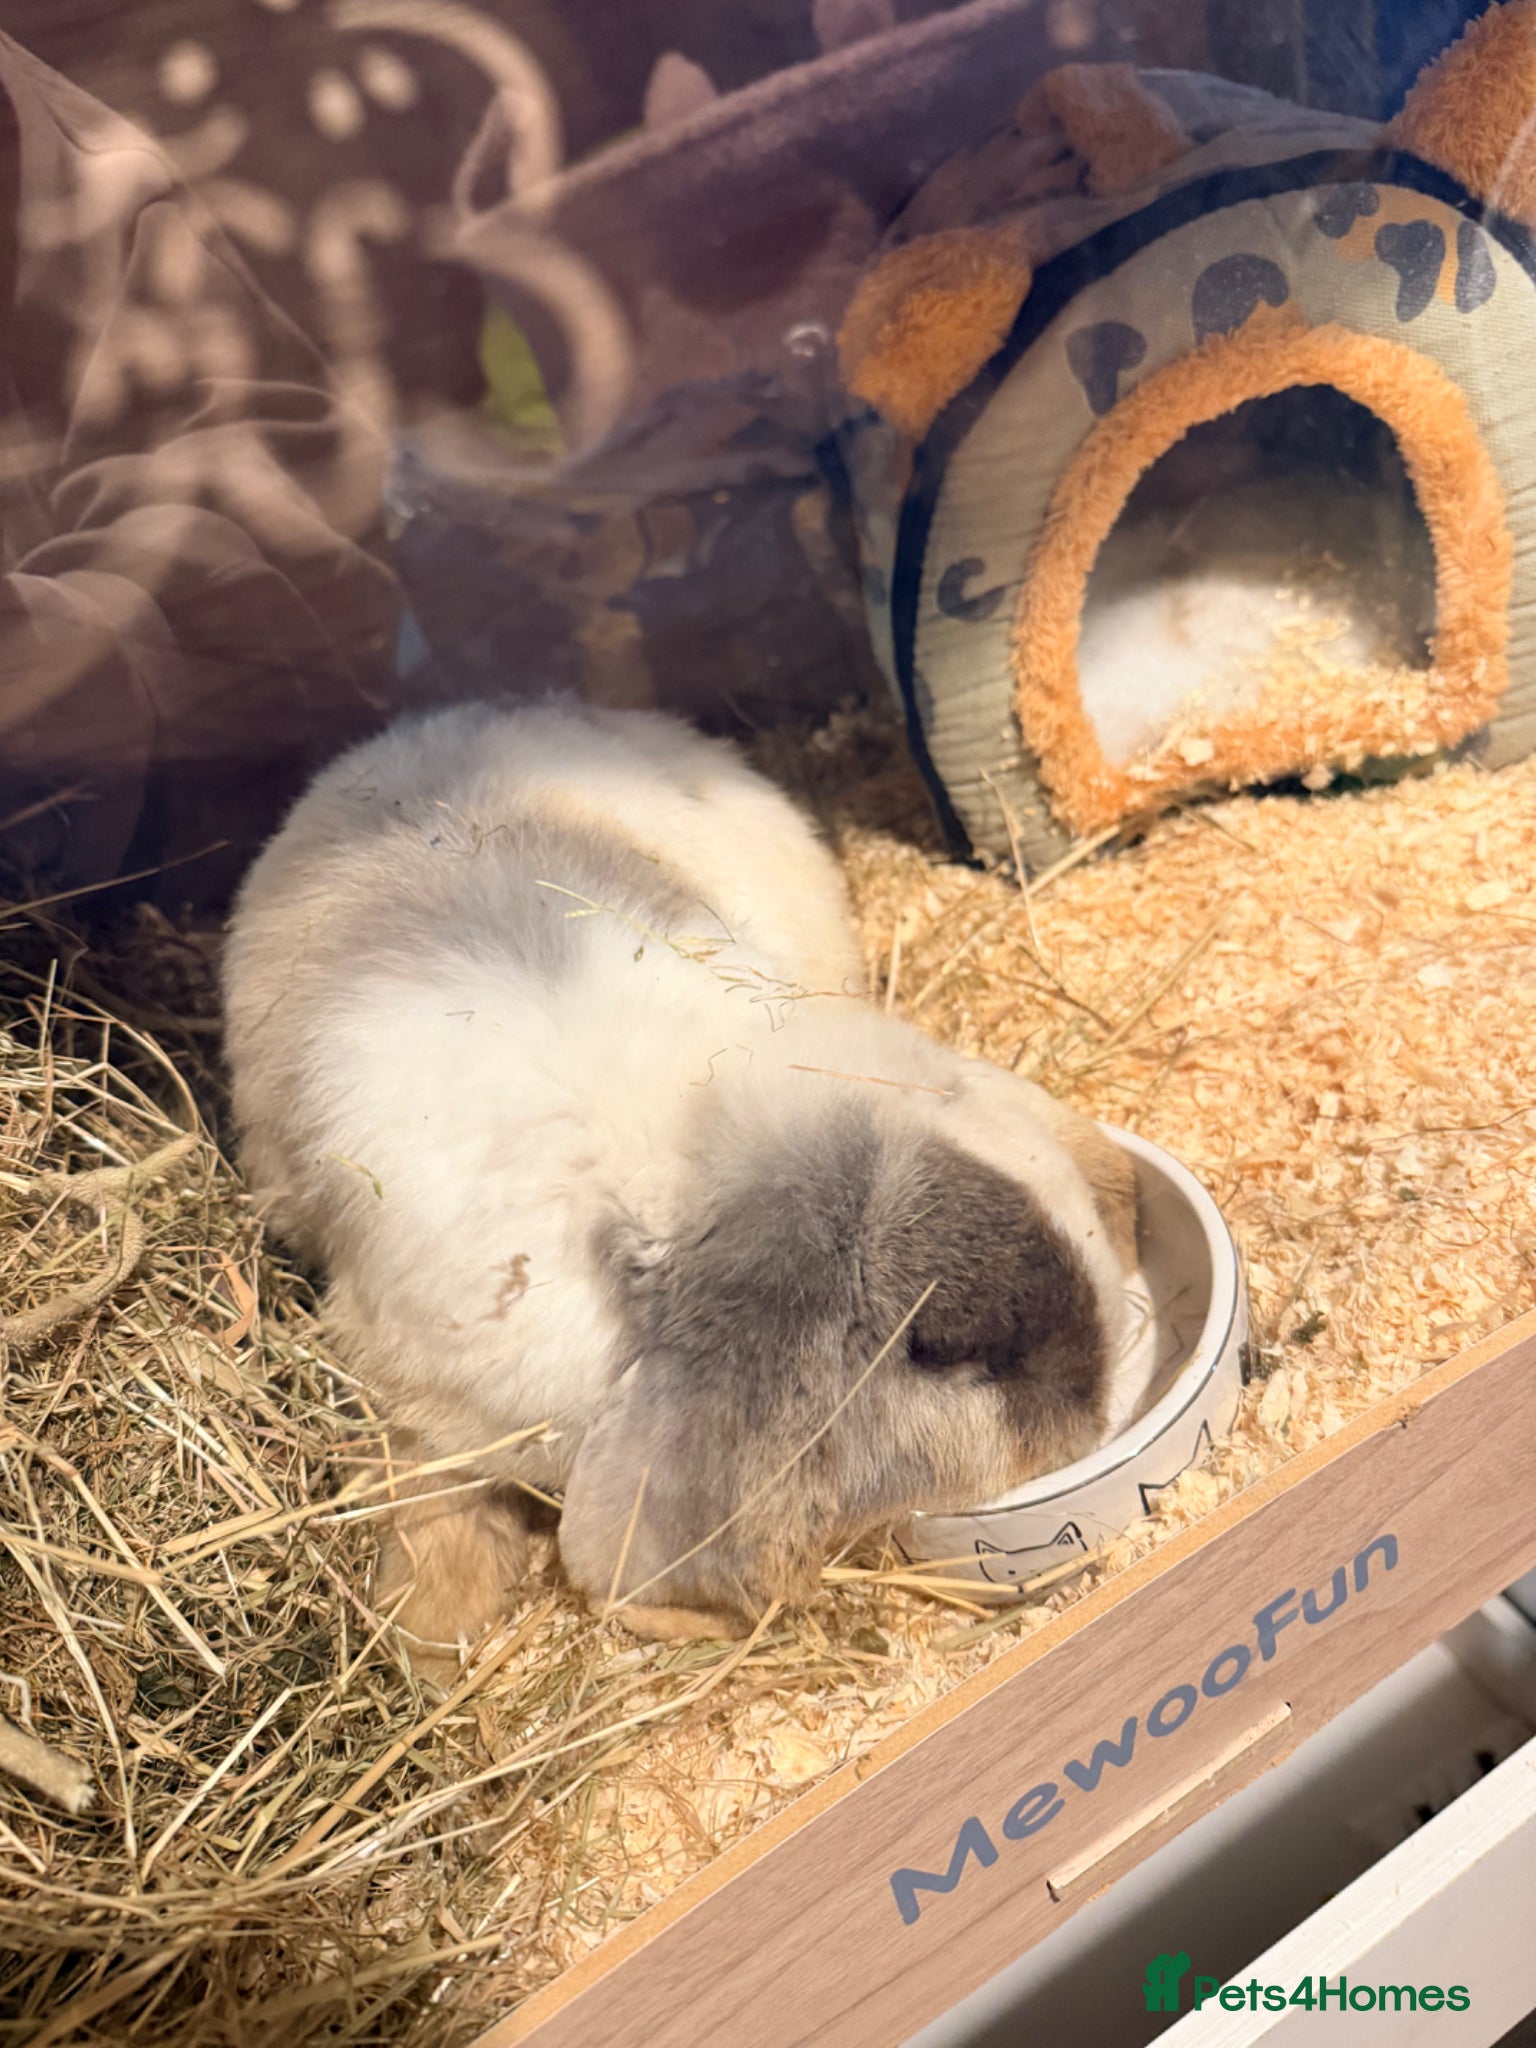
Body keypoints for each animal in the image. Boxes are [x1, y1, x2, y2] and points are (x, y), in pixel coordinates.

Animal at [222, 695, 1138, 1661]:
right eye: (940, 1350)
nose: (1095, 1397)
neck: (672, 1164)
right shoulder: (416, 1391)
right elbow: (430, 1498)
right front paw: (428, 1638)